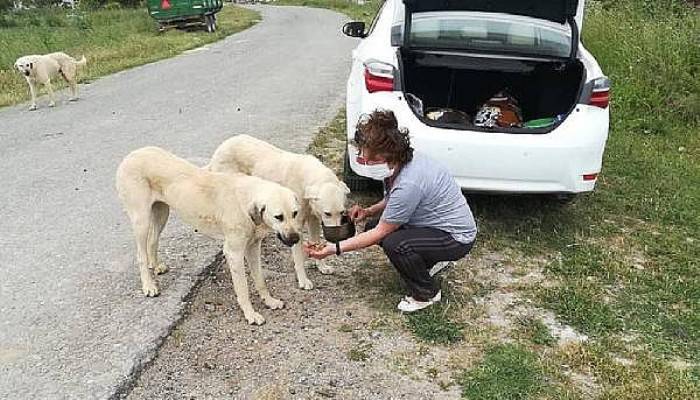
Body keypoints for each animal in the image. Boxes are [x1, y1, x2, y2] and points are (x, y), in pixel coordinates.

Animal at [115, 147, 300, 324]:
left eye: (295, 213)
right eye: (278, 217)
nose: (296, 239)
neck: (245, 202)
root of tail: (132, 155)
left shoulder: (253, 248)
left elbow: (260, 280)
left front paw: (269, 301)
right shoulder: (234, 254)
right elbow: (243, 289)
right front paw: (250, 314)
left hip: (161, 213)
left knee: (153, 240)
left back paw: (156, 265)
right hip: (142, 221)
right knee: (141, 254)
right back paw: (149, 285)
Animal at [206, 136, 350, 290]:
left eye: (342, 212)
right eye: (327, 213)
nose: (337, 239)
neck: (307, 178)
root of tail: (223, 146)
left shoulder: (314, 220)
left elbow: (316, 243)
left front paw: (321, 266)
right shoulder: (295, 227)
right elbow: (298, 257)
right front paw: (303, 280)